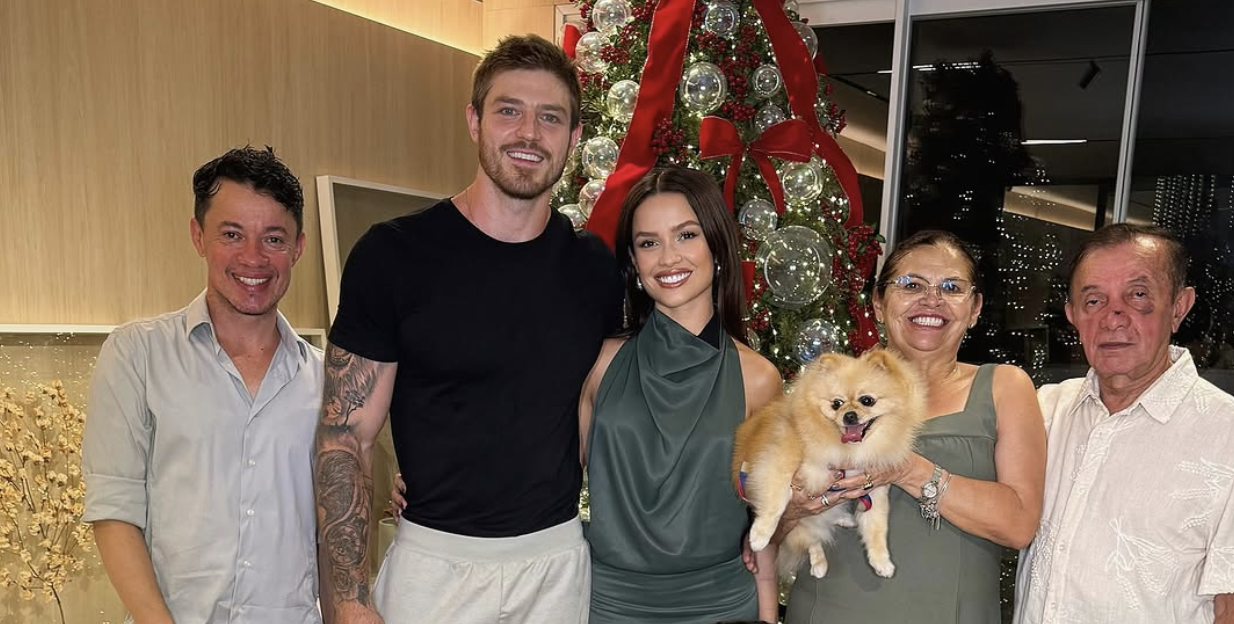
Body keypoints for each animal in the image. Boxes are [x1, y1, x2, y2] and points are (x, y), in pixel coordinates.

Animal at [732, 348, 926, 579]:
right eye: (836, 404)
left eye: (867, 400)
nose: (849, 415)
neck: (849, 449)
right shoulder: (779, 457)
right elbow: (776, 497)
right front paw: (760, 535)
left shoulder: (874, 488)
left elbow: (877, 526)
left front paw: (881, 561)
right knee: (810, 536)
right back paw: (819, 562)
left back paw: (844, 520)